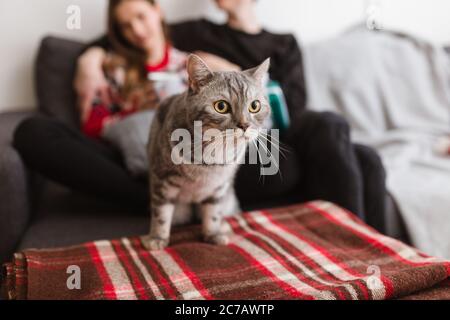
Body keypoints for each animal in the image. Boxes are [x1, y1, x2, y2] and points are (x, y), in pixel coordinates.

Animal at [142, 54, 270, 250]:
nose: (245, 125)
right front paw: (157, 238)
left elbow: (213, 213)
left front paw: (213, 234)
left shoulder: (219, 188)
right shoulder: (161, 181)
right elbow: (161, 214)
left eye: (254, 106)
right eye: (221, 106)